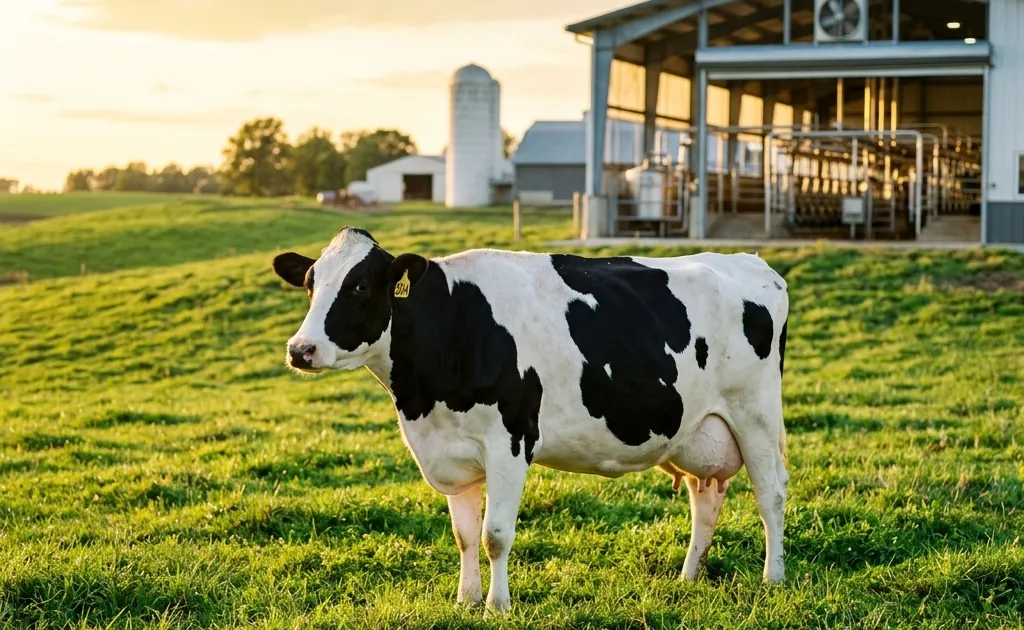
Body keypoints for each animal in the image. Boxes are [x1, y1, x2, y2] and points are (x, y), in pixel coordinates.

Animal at [272, 226, 790, 613]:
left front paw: (497, 606)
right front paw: (465, 601)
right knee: (705, 498)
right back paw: (688, 577)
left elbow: (495, 536)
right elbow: (464, 536)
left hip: (756, 412)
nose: (301, 349)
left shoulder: (510, 440)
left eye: (359, 285)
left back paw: (773, 578)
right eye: (311, 283)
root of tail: (754, 263)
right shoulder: (450, 450)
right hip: (697, 429)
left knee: (771, 494)